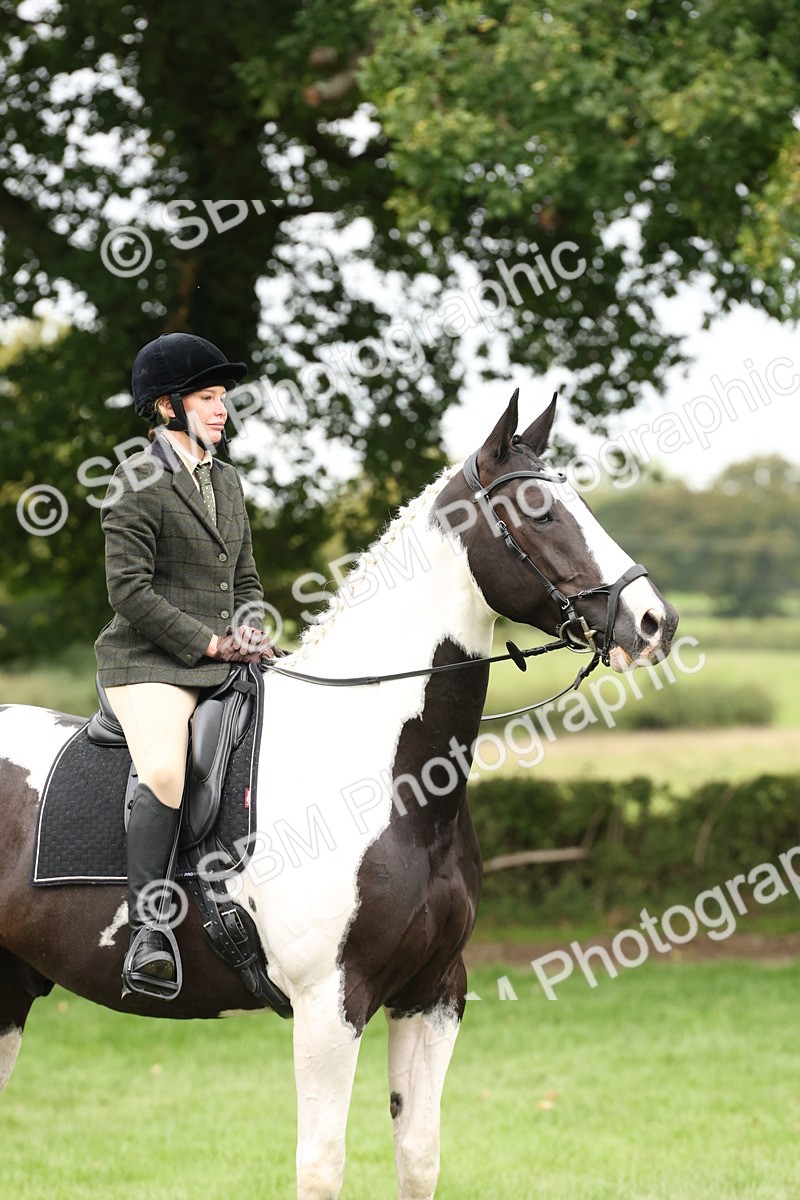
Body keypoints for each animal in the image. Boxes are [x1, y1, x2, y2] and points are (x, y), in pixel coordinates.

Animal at [0, 392, 678, 1200]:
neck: (392, 779)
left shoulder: (432, 994)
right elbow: (321, 1165)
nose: (654, 622)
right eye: (540, 511)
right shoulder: (330, 1003)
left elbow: (419, 1154)